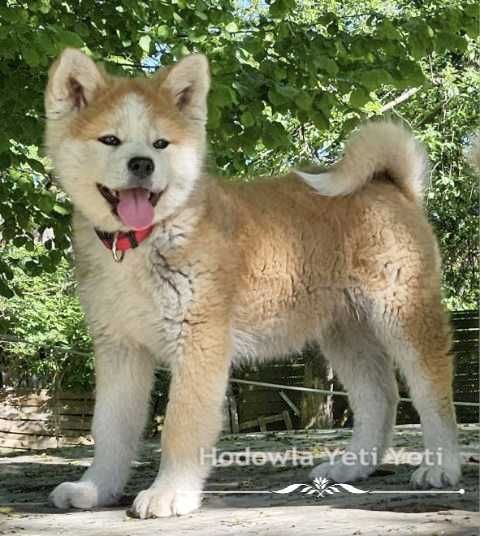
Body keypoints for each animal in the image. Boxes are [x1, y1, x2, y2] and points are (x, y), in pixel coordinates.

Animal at [45, 48, 462, 516]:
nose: (142, 164)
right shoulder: (120, 348)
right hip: (346, 331)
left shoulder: (199, 342)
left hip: (403, 315)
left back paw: (441, 466)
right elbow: (110, 429)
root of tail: (390, 185)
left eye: (160, 144)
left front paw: (171, 492)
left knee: (432, 393)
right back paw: (353, 467)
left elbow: (181, 426)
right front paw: (95, 488)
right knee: (380, 397)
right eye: (110, 140)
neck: (143, 241)